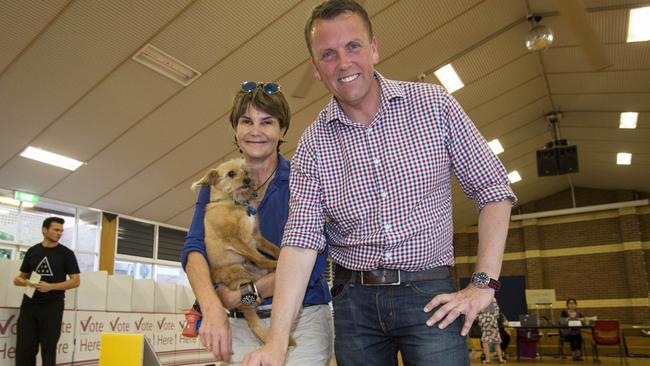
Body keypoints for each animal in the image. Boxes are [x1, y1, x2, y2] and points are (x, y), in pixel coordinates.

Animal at [192, 159, 284, 344]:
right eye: (231, 174)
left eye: (246, 172)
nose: (248, 180)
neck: (233, 203)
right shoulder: (236, 240)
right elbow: (259, 256)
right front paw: (273, 263)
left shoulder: (257, 237)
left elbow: (273, 248)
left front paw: (279, 256)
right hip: (239, 270)